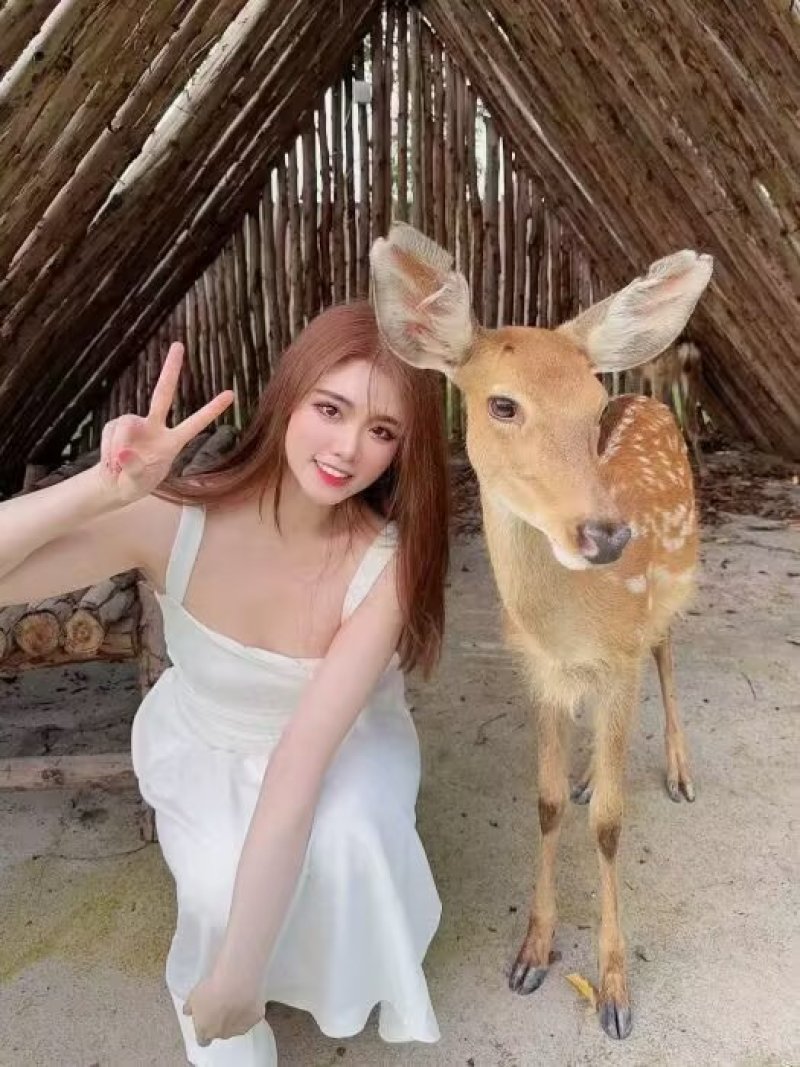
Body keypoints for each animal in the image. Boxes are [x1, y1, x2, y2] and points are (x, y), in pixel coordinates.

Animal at [369, 223, 713, 1040]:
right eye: (502, 403)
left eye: (593, 402)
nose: (606, 534)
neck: (569, 619)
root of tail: (652, 400)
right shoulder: (539, 668)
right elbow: (548, 803)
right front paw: (532, 952)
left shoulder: (618, 652)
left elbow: (613, 824)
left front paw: (614, 991)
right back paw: (593, 771)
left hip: (675, 587)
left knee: (668, 652)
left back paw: (680, 771)